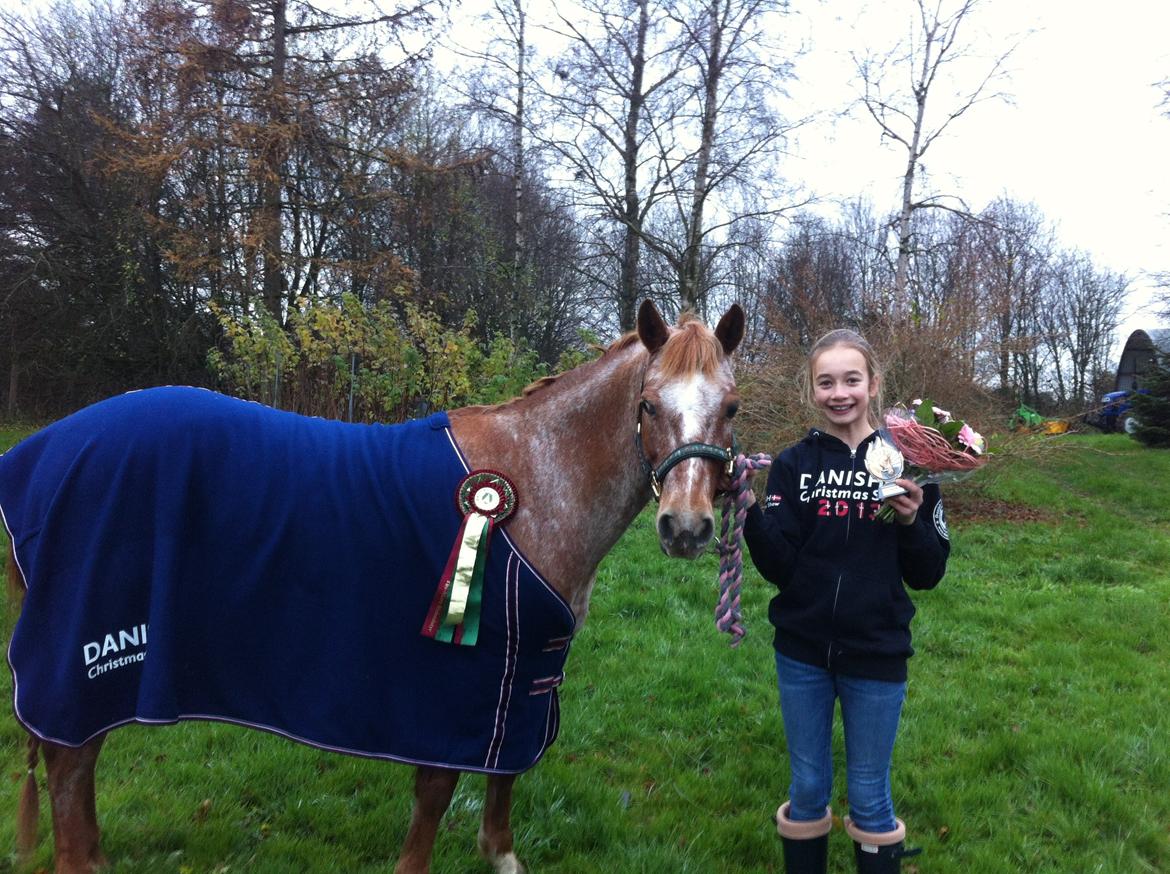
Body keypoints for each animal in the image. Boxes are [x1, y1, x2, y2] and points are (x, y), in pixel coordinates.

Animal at [1, 299, 745, 874]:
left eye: (732, 408)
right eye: (647, 404)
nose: (685, 527)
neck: (534, 482)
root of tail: (38, 456)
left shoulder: (526, 669)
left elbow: (506, 769)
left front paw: (500, 854)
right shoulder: (455, 681)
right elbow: (437, 790)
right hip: (87, 669)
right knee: (69, 771)